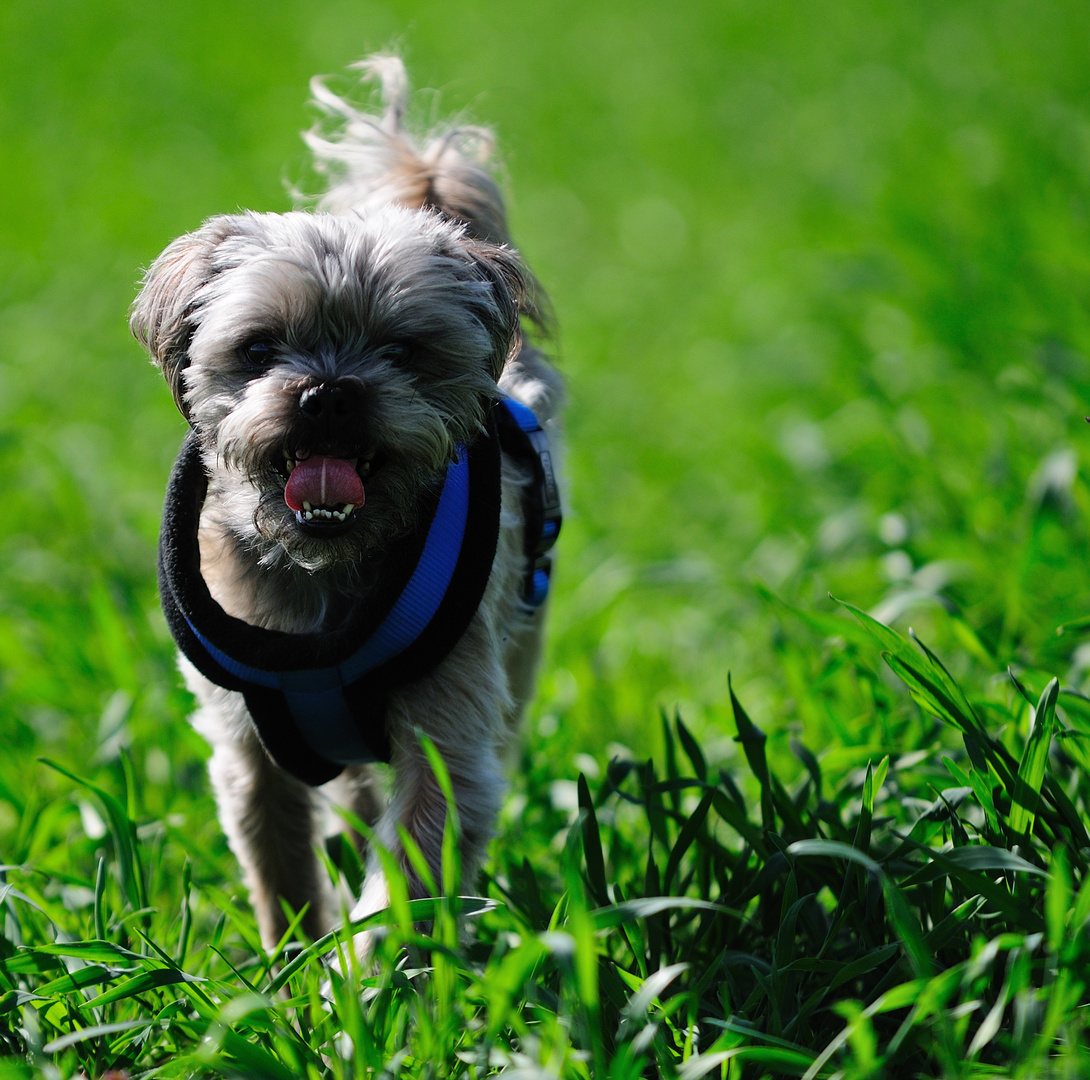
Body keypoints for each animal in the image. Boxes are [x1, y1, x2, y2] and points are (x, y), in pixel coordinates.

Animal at [129, 56, 562, 954]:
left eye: (404, 350)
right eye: (258, 348)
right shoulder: (245, 747)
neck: (323, 569)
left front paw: (361, 982)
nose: (329, 392)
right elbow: (278, 861)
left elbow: (411, 864)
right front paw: (286, 969)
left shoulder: (450, 728)